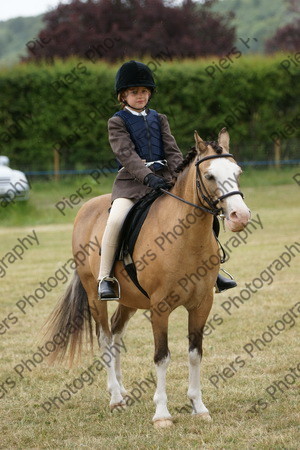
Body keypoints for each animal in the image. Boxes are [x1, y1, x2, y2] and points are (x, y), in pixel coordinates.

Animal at [44, 128, 251, 428]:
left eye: (237, 172)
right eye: (210, 175)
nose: (240, 217)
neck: (186, 238)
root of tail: (87, 208)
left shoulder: (201, 304)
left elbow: (195, 353)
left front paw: (198, 407)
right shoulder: (160, 308)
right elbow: (162, 357)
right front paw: (162, 414)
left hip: (129, 300)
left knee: (116, 333)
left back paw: (121, 389)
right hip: (95, 296)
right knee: (105, 338)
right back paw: (115, 398)